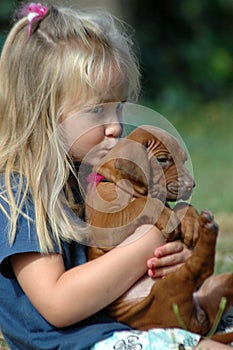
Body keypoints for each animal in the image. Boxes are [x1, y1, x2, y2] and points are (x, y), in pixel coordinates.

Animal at [83, 126, 233, 342]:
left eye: (183, 160)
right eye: (163, 160)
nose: (192, 185)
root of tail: (198, 325)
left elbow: (182, 205)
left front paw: (190, 223)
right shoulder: (106, 228)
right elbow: (140, 204)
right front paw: (170, 218)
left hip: (210, 287)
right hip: (166, 292)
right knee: (199, 268)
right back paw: (209, 228)